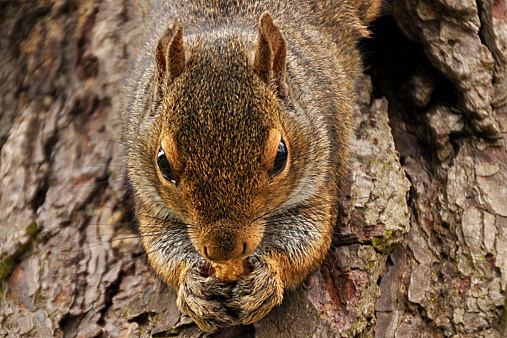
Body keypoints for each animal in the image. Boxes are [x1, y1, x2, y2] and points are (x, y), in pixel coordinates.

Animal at [124, 0, 380, 332]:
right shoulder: (149, 199)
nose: (223, 250)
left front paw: (268, 278)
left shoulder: (321, 175)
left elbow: (309, 242)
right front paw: (191, 289)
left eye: (281, 157)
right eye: (163, 163)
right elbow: (161, 249)